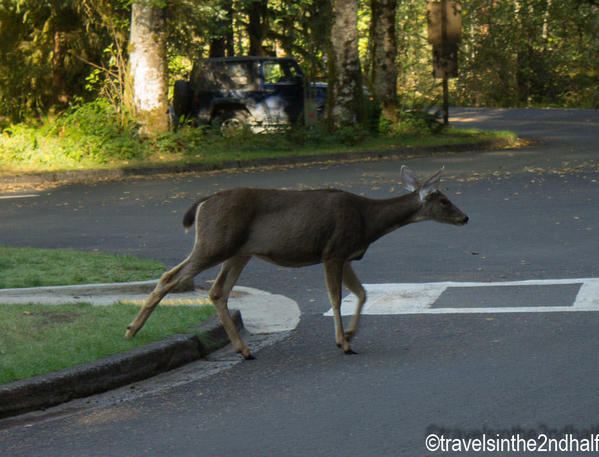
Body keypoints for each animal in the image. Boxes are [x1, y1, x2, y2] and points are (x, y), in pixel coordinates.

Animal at [125, 166, 468, 358]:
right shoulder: (333, 250)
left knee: (217, 291)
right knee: (171, 277)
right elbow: (336, 297)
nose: (465, 217)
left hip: (239, 251)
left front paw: (351, 335)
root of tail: (203, 203)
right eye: (443, 200)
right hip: (215, 242)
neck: (368, 221)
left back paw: (243, 350)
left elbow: (362, 293)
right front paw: (343, 342)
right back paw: (131, 330)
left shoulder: (345, 254)